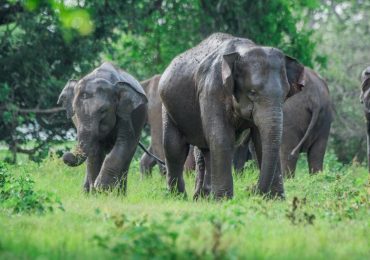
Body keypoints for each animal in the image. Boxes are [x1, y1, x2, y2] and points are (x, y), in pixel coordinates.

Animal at [57, 62, 147, 193]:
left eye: (103, 110)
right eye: (75, 112)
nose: (66, 155)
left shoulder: (126, 115)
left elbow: (124, 142)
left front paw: (102, 187)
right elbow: (95, 151)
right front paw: (97, 192)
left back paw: (119, 194)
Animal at [159, 32, 304, 199]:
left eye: (285, 94)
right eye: (252, 92)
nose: (251, 190)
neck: (242, 50)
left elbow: (260, 140)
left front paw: (276, 199)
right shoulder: (211, 90)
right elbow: (221, 137)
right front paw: (224, 200)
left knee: (205, 150)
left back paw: (203, 198)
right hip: (168, 108)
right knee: (174, 148)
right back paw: (179, 197)